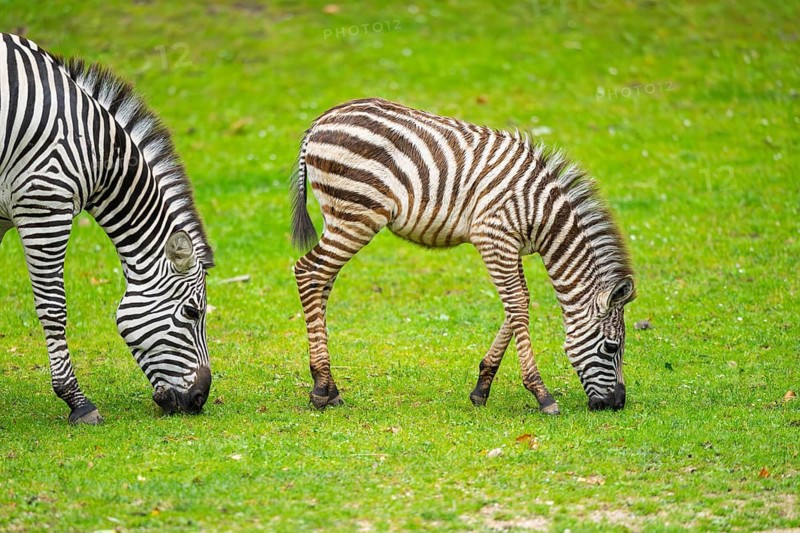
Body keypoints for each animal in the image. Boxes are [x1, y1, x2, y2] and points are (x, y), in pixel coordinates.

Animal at [0, 33, 214, 424]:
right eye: (192, 312)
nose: (199, 399)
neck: (96, 152)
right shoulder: (44, 208)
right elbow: (53, 308)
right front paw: (77, 401)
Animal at [291, 98, 636, 414]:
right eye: (611, 347)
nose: (618, 403)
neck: (542, 213)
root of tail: (320, 121)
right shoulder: (493, 236)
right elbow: (517, 304)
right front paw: (541, 394)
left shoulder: (509, 244)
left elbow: (518, 303)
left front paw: (482, 387)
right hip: (357, 214)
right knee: (308, 272)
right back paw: (321, 388)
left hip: (339, 216)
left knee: (322, 280)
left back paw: (329, 388)